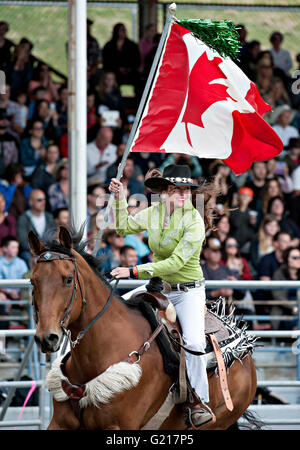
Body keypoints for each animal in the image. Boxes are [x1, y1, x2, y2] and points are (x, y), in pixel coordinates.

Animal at [28, 227, 258, 430]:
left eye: (68, 279)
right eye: (32, 281)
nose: (47, 338)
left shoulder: (119, 425)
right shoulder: (59, 423)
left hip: (218, 423)